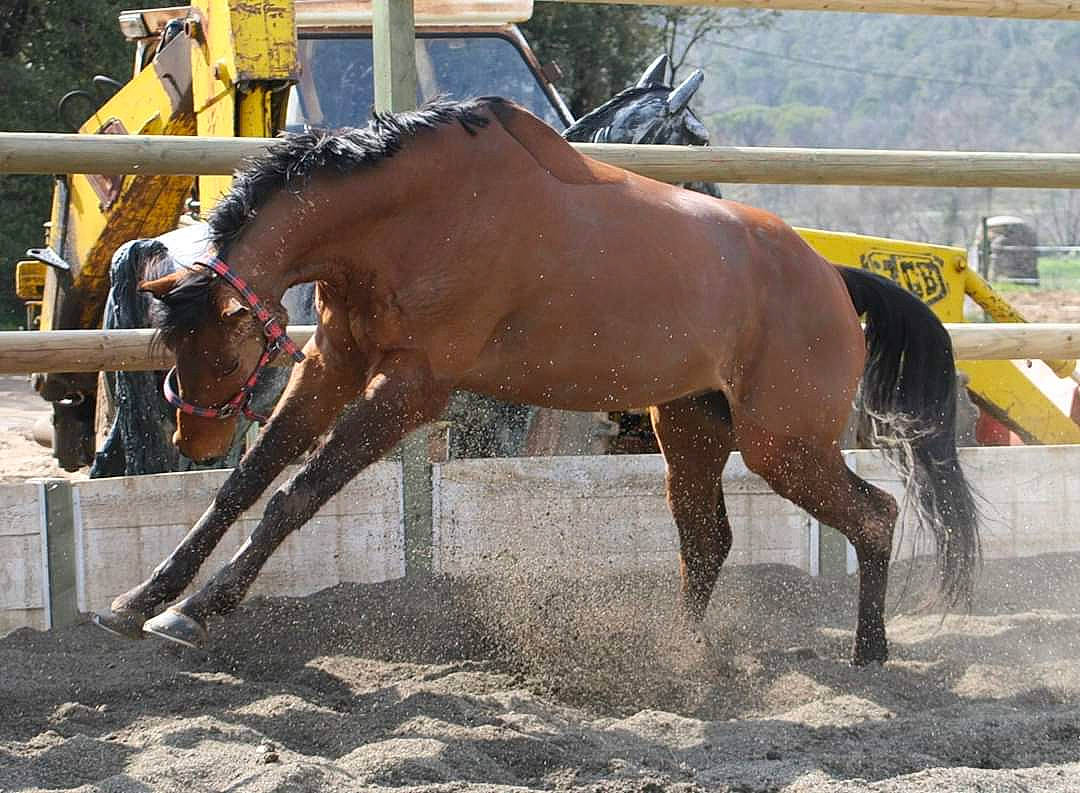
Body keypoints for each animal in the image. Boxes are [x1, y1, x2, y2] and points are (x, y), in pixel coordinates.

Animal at [93, 96, 980, 666]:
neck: (415, 213)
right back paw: (683, 653)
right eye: (173, 346)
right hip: (691, 429)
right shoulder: (334, 360)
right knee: (708, 540)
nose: (193, 433)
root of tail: (832, 276)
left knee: (876, 514)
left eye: (219, 352)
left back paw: (871, 652)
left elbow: (294, 494)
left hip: (781, 445)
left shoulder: (411, 388)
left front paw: (195, 612)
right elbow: (244, 483)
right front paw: (142, 599)